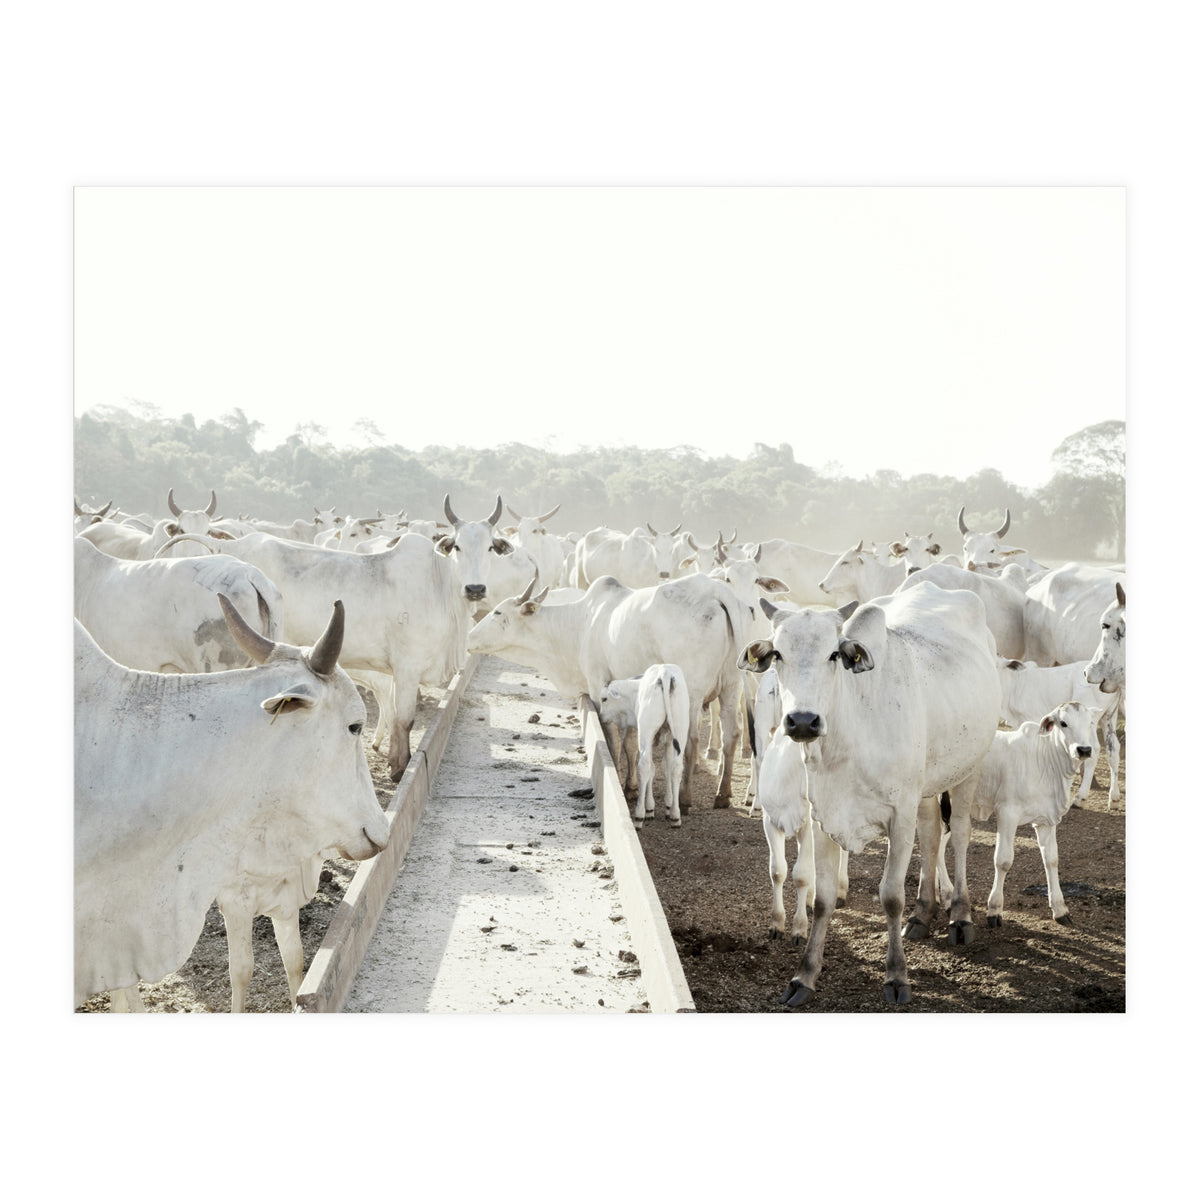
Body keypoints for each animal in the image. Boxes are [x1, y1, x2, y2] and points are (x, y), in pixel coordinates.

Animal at [467, 572, 746, 810]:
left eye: (497, 611)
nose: (470, 637)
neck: (580, 624)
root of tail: (714, 589)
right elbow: (631, 743)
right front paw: (632, 786)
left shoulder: (598, 686)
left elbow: (612, 738)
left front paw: (619, 781)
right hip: (732, 686)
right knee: (732, 733)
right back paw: (723, 794)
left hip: (692, 693)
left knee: (691, 739)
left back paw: (686, 798)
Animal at [597, 665, 690, 827]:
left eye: (604, 699)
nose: (600, 716)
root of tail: (665, 673)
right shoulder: (669, 740)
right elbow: (666, 768)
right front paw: (667, 806)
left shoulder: (648, 738)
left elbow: (651, 769)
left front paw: (649, 809)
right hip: (680, 730)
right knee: (677, 767)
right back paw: (675, 816)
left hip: (646, 733)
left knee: (644, 766)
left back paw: (639, 816)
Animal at [738, 582, 1001, 1006]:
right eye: (778, 653)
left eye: (834, 653)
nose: (803, 721)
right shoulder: (823, 817)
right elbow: (823, 897)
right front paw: (804, 975)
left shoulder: (899, 814)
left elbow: (890, 895)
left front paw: (896, 977)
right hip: (925, 787)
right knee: (931, 835)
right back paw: (922, 914)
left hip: (968, 768)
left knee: (959, 833)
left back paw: (960, 916)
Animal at [971, 701, 1102, 927]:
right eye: (1063, 723)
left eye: (1090, 722)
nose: (1084, 749)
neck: (1044, 762)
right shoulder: (1007, 813)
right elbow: (1003, 860)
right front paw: (994, 909)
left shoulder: (1046, 820)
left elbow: (1052, 860)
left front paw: (1060, 909)